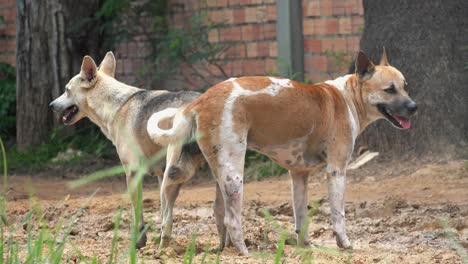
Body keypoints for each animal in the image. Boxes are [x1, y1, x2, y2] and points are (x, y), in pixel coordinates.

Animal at [49, 52, 205, 250]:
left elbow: (139, 213)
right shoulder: (159, 175)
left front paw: (139, 243)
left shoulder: (133, 173)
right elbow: (162, 213)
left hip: (171, 174)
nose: (51, 105)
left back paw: (162, 250)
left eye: (67, 90)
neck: (117, 105)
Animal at [147, 48, 416, 255]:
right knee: (232, 219)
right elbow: (339, 216)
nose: (414, 107)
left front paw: (304, 245)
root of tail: (198, 102)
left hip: (179, 177)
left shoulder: (298, 176)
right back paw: (244, 252)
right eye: (389, 90)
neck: (347, 97)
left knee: (174, 217)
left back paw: (184, 249)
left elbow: (300, 216)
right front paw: (344, 244)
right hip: (234, 176)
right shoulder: (337, 172)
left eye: (405, 87)